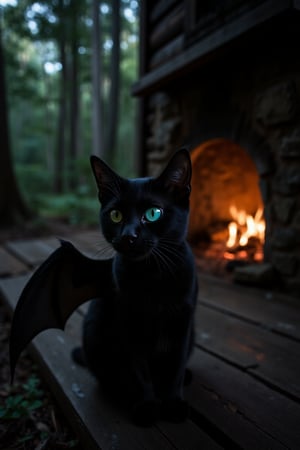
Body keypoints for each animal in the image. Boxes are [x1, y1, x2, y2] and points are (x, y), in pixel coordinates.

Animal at [74, 149, 197, 426]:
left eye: (153, 213)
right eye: (116, 215)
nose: (128, 235)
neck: (153, 277)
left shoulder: (183, 322)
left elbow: (175, 365)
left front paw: (173, 404)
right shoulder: (128, 322)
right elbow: (139, 370)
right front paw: (147, 406)